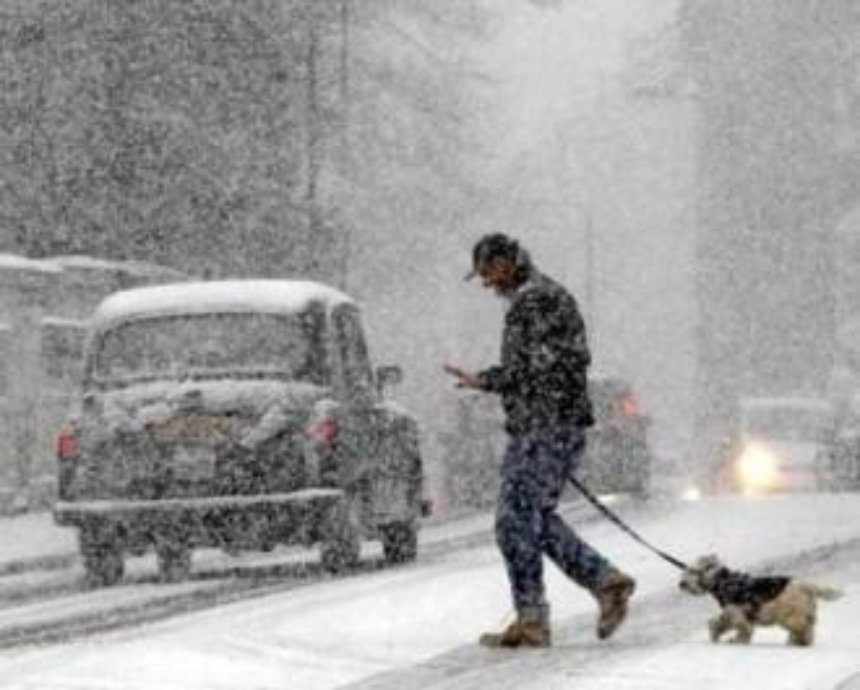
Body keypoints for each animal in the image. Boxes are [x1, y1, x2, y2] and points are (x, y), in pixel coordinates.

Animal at [680, 552, 840, 644]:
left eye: (692, 570)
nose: (681, 584)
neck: (722, 581)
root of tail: (808, 585)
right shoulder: (731, 613)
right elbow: (720, 623)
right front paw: (715, 634)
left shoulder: (736, 612)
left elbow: (743, 628)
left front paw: (736, 640)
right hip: (801, 614)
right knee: (807, 629)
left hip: (791, 616)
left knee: (803, 629)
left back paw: (799, 642)